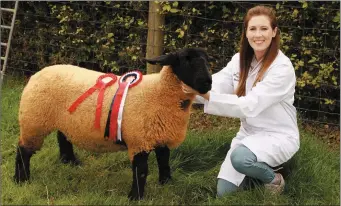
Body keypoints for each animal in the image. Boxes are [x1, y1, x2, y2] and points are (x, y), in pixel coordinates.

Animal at [14, 48, 211, 200]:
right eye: (186, 61)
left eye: (206, 62)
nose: (208, 83)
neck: (159, 92)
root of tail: (37, 74)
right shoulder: (139, 140)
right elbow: (141, 170)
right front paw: (135, 197)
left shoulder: (160, 136)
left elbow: (164, 162)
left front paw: (166, 183)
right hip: (34, 121)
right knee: (23, 150)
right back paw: (21, 179)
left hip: (64, 120)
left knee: (63, 137)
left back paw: (69, 162)